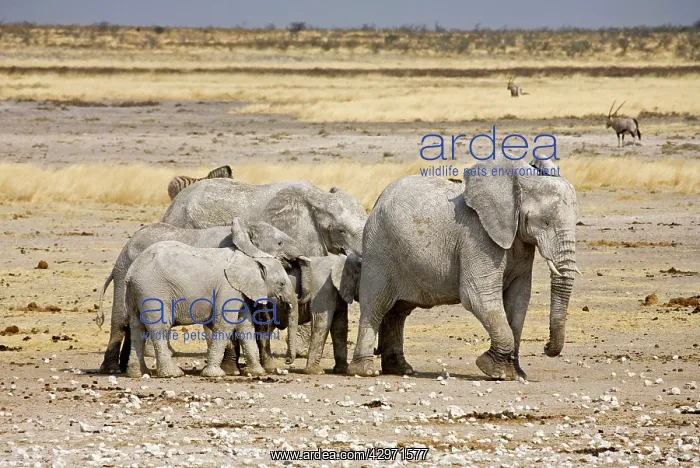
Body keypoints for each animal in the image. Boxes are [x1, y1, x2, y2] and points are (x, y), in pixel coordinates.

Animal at [97, 217, 302, 374]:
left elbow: (250, 321)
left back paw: (133, 371)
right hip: (131, 278)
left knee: (135, 325)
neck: (245, 228)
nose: (288, 361)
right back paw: (115, 370)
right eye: (280, 243)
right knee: (124, 322)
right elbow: (225, 323)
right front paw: (229, 370)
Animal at [347, 158, 579, 380]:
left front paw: (516, 374)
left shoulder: (519, 243)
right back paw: (365, 371)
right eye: (545, 222)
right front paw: (494, 371)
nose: (546, 347)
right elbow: (477, 295)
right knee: (376, 305)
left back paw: (401, 369)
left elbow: (519, 299)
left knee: (399, 311)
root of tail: (379, 200)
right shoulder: (477, 238)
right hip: (379, 249)